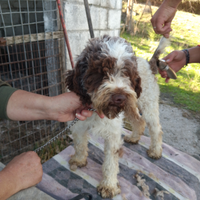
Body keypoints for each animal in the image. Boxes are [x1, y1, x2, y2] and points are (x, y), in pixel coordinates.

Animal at [65, 35, 169, 198]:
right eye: (101, 72)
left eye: (127, 74)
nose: (119, 97)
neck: (96, 109)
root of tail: (148, 62)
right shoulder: (79, 125)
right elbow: (80, 145)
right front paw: (79, 160)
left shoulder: (113, 135)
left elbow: (110, 161)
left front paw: (109, 186)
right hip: (130, 106)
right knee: (139, 121)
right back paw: (134, 138)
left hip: (147, 103)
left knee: (155, 128)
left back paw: (156, 151)